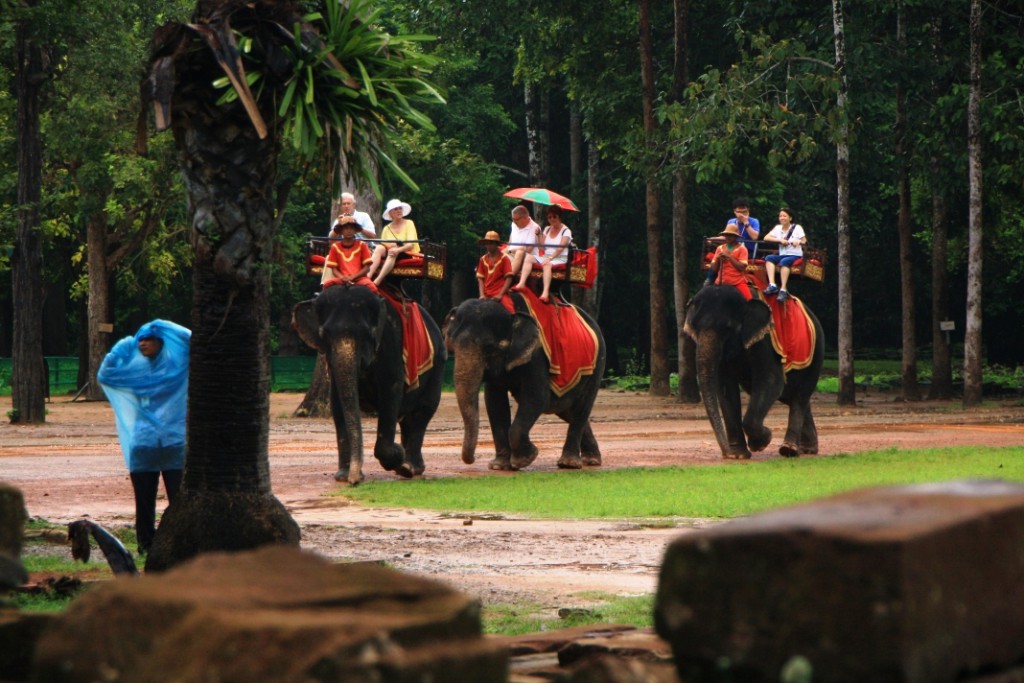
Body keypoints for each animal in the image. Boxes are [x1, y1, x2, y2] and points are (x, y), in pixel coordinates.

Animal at [292, 286, 444, 483]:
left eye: (367, 334)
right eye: (323, 335)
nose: (355, 481)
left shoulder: (391, 343)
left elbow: (391, 394)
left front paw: (397, 456)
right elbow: (337, 401)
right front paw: (343, 476)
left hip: (438, 364)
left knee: (422, 412)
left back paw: (408, 468)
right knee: (408, 418)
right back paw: (408, 466)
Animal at [442, 296, 602, 473]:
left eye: (490, 348)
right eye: (452, 345)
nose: (472, 460)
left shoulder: (537, 354)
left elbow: (537, 398)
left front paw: (525, 459)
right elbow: (494, 402)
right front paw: (499, 466)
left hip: (596, 365)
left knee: (581, 407)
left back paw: (570, 464)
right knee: (566, 410)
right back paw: (591, 460)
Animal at [684, 282, 827, 458]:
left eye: (728, 328)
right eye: (695, 328)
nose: (726, 453)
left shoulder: (765, 339)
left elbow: (771, 380)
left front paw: (761, 442)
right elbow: (725, 388)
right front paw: (738, 455)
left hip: (817, 352)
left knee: (800, 395)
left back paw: (789, 450)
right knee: (792, 396)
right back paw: (807, 449)